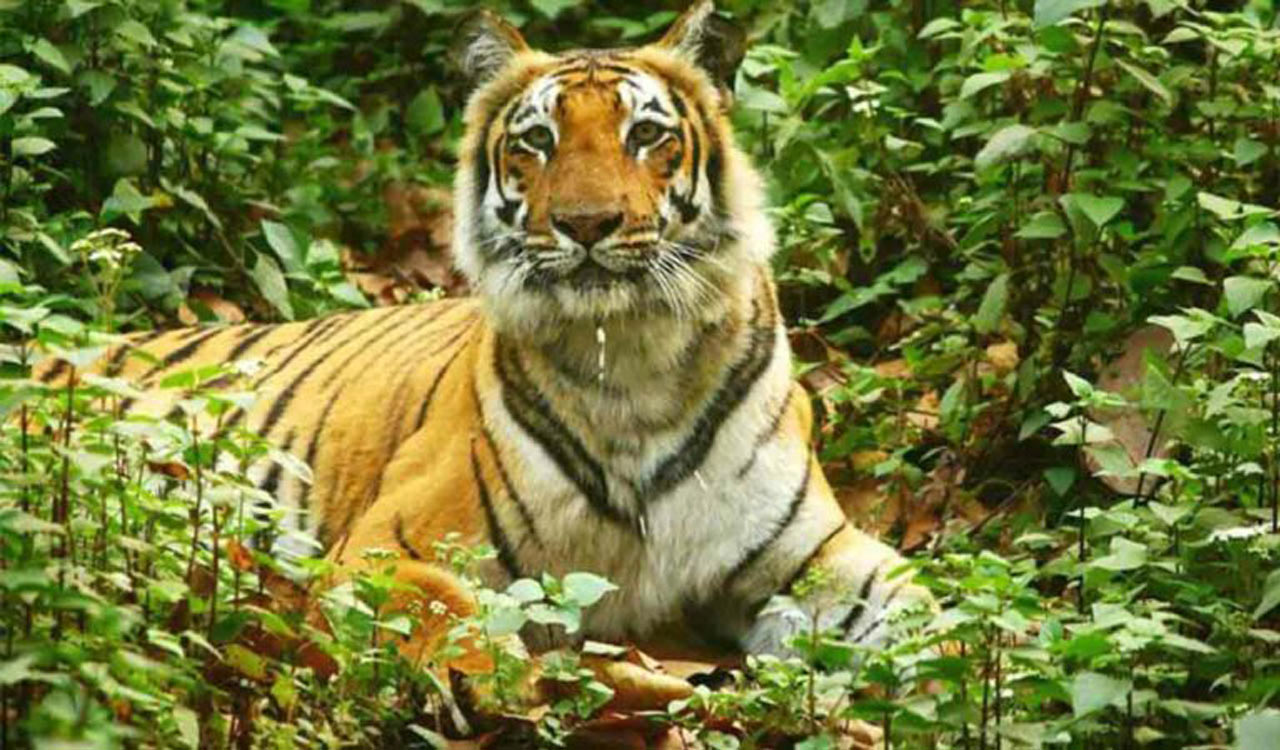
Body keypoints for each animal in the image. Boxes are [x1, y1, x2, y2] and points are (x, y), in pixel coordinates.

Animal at [39, 0, 931, 674]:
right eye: (537, 140)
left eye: (646, 135)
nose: (587, 224)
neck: (632, 358)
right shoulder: (392, 543)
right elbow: (445, 611)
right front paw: (492, 686)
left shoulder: (814, 556)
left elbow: (936, 614)